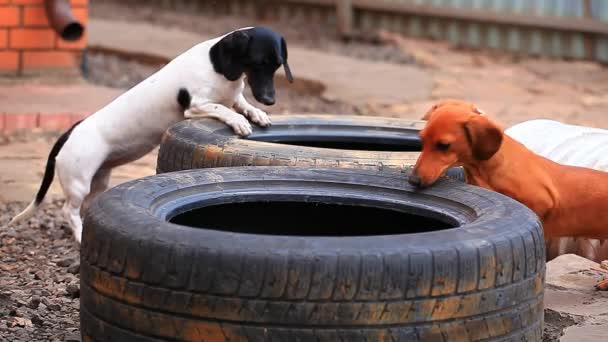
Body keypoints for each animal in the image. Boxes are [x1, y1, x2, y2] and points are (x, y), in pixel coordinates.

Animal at [8, 25, 294, 242]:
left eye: (278, 65)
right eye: (257, 63)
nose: (269, 100)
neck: (217, 66)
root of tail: (70, 131)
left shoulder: (234, 96)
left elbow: (240, 103)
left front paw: (256, 113)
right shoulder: (196, 106)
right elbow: (221, 108)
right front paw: (239, 121)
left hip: (98, 182)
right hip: (78, 181)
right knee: (69, 210)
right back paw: (79, 236)